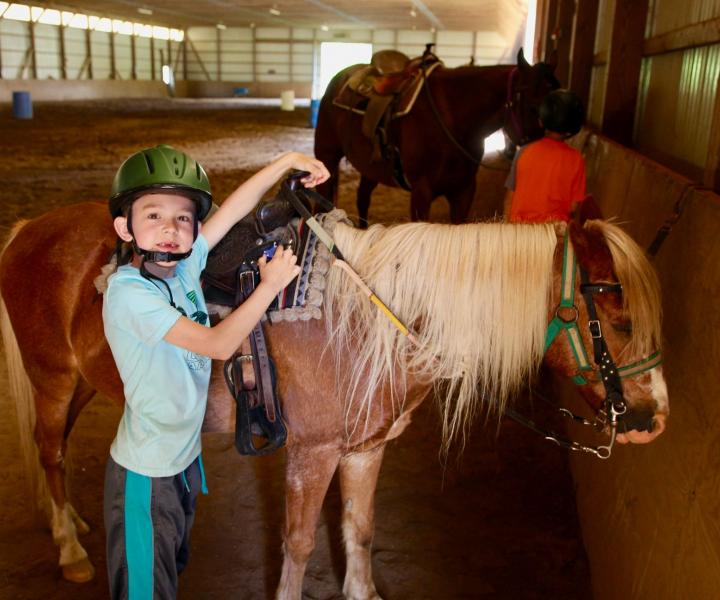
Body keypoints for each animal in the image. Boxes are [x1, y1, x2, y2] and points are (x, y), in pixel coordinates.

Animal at [0, 201, 668, 598]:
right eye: (620, 318)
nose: (654, 419)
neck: (370, 323)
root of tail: (31, 228)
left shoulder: (364, 450)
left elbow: (360, 530)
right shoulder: (312, 454)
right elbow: (298, 545)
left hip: (85, 381)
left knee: (57, 448)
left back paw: (73, 522)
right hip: (52, 378)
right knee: (50, 452)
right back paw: (69, 548)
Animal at [314, 49, 560, 227]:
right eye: (534, 104)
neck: (451, 118)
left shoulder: (463, 192)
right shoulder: (422, 192)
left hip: (371, 168)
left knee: (363, 198)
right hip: (327, 157)